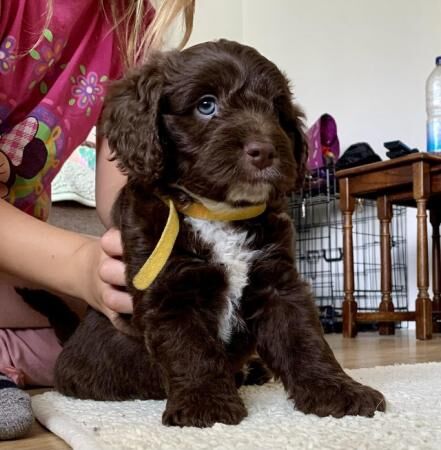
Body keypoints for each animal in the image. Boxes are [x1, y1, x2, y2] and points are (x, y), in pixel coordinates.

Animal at [54, 40, 384, 428]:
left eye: (276, 111)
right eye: (206, 105)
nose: (264, 150)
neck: (216, 211)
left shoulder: (279, 283)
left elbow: (305, 339)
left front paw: (338, 391)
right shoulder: (170, 290)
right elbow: (191, 349)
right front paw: (205, 404)